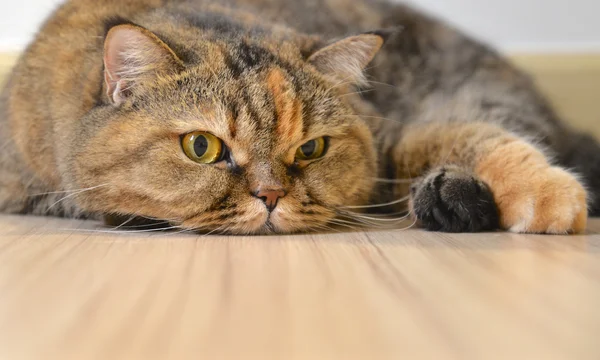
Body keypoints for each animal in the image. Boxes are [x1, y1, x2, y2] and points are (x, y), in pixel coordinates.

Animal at [0, 0, 596, 235]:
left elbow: (468, 135)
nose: (271, 196)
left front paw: (548, 195)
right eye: (201, 147)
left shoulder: (392, 131)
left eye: (310, 149)